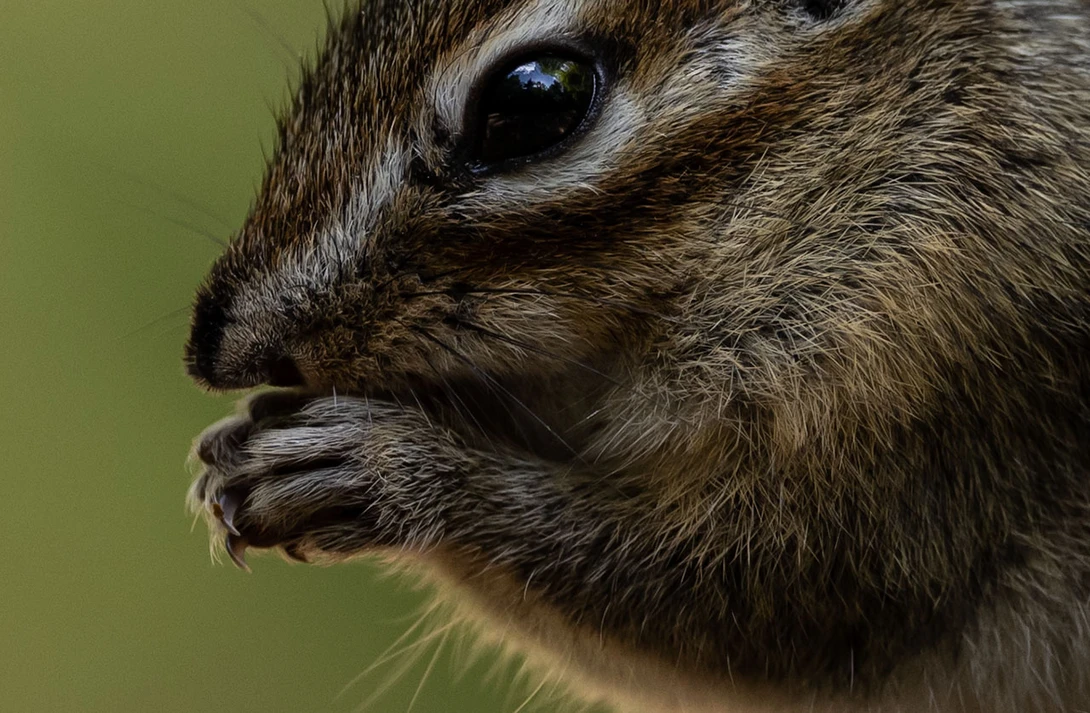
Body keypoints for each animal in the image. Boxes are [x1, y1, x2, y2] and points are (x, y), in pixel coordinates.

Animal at [184, 0, 1090, 711]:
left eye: (533, 98)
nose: (211, 345)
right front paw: (241, 438)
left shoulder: (940, 375)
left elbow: (746, 598)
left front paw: (381, 467)